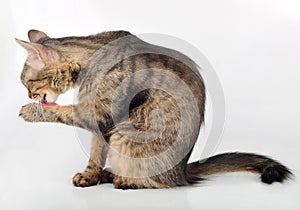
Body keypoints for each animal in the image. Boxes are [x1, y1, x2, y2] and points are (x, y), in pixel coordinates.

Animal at [15, 29, 290, 189]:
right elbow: (95, 154)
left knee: (158, 182)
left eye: (28, 82)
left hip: (126, 132)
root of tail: (182, 172)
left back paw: (124, 180)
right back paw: (108, 174)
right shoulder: (101, 126)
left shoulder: (99, 114)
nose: (29, 94)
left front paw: (31, 111)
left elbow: (63, 112)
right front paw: (90, 176)